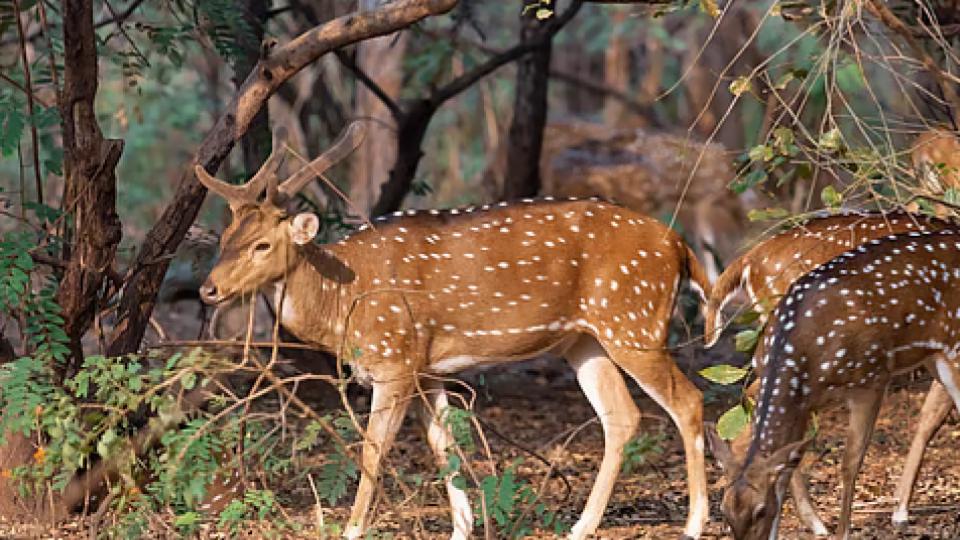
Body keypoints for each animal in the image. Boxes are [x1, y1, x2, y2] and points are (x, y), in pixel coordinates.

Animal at [192, 121, 712, 539]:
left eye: (261, 245)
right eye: (225, 239)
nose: (208, 289)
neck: (344, 301)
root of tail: (678, 245)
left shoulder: (395, 358)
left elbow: (373, 449)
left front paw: (353, 529)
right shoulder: (427, 369)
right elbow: (444, 445)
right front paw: (462, 527)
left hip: (633, 322)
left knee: (688, 400)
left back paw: (693, 524)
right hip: (585, 340)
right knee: (622, 416)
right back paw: (580, 527)